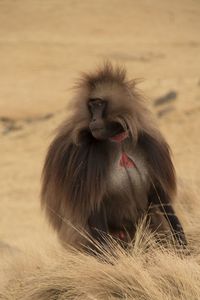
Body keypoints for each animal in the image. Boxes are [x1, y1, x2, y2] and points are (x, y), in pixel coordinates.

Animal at [41, 62, 188, 250]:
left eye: (98, 104)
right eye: (91, 105)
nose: (93, 120)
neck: (118, 140)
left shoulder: (150, 146)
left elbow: (160, 198)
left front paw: (182, 246)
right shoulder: (85, 157)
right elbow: (93, 209)